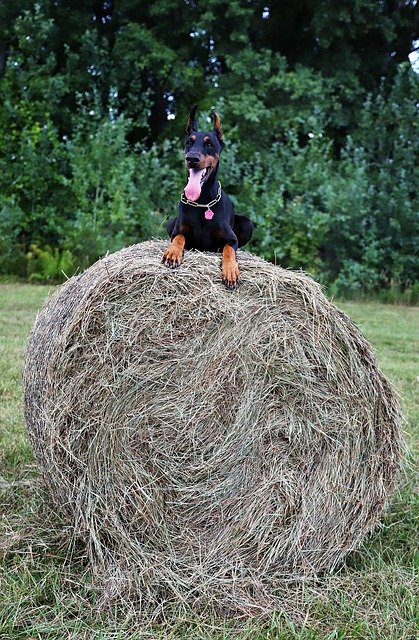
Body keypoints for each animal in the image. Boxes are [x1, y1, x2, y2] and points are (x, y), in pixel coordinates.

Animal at [162, 105, 253, 290]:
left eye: (209, 144)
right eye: (189, 142)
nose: (191, 158)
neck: (203, 202)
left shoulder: (231, 240)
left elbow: (229, 250)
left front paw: (230, 270)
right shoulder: (178, 231)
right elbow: (179, 238)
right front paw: (173, 253)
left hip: (248, 223)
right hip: (170, 222)